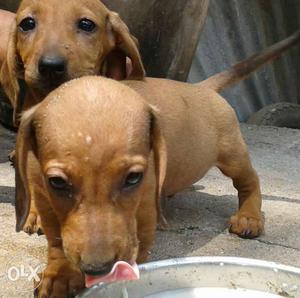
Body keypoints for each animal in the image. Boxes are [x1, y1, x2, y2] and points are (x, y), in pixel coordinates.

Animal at [15, 30, 300, 298]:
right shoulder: (44, 197)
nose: (99, 268)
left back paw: (249, 216)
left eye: (133, 178)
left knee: (250, 182)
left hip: (233, 154)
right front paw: (59, 275)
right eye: (57, 182)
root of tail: (203, 88)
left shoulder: (143, 210)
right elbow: (56, 240)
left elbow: (138, 243)